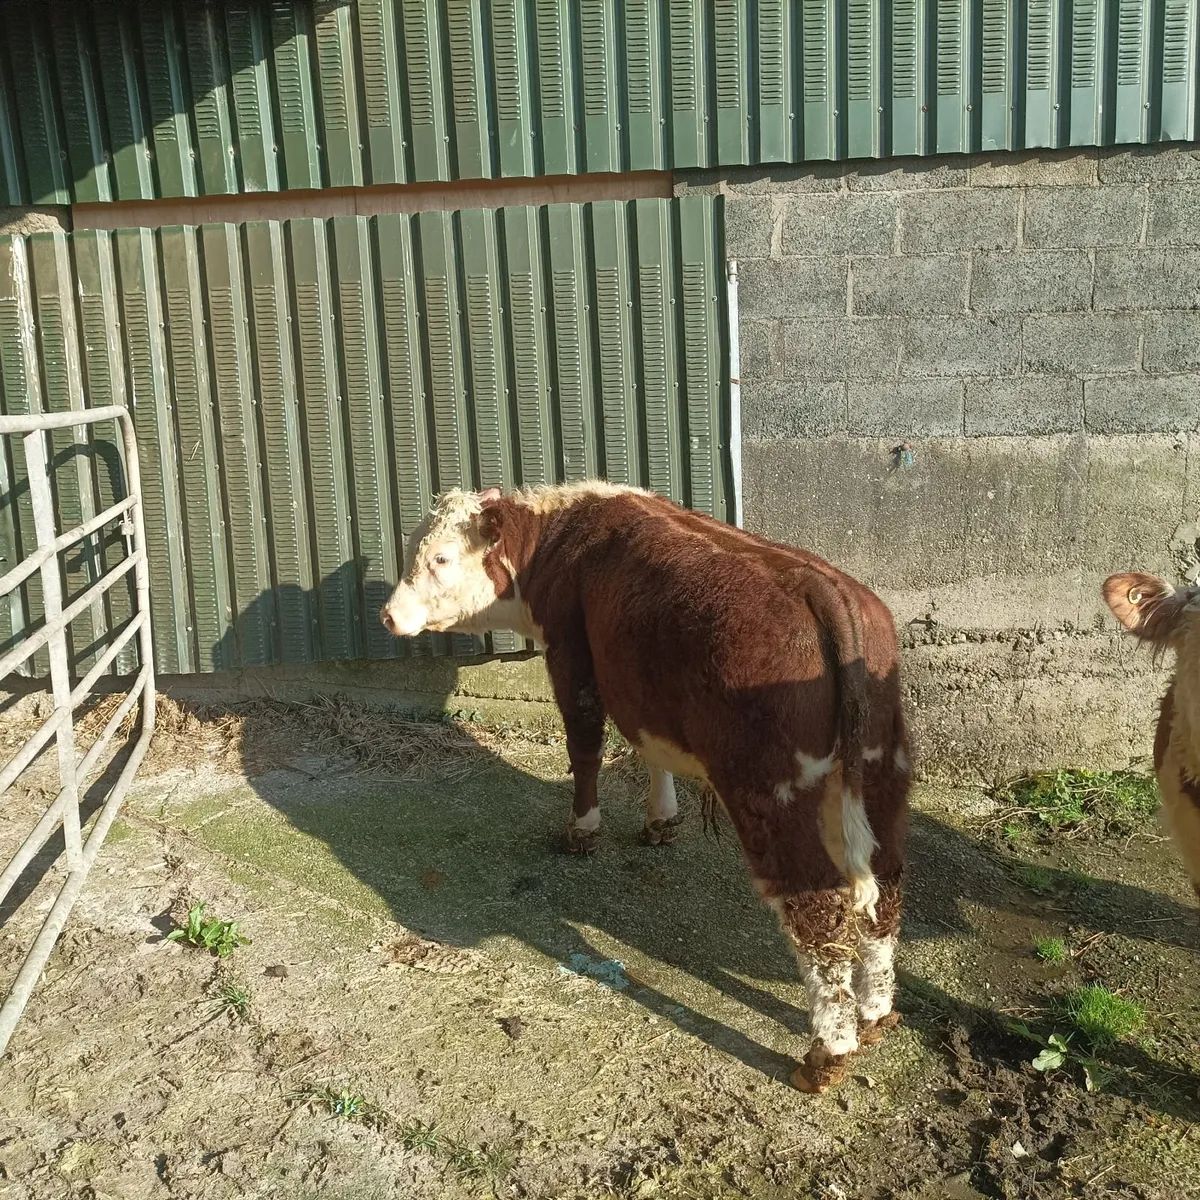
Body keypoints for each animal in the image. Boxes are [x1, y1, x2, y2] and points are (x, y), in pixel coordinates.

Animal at [381, 482, 911, 1092]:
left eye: (442, 558)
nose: (388, 615)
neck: (561, 538)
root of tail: (824, 589)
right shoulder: (640, 689)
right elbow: (647, 749)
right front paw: (661, 818)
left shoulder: (573, 657)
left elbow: (585, 747)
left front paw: (582, 829)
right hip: (881, 771)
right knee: (885, 887)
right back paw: (875, 1012)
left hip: (771, 790)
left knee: (817, 910)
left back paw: (828, 1052)